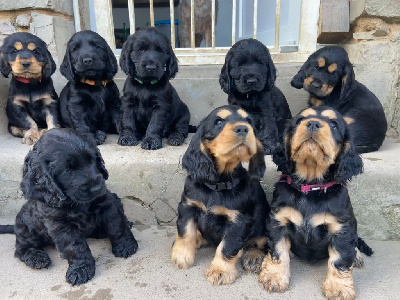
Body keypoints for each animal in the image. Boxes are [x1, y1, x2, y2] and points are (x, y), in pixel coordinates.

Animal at [1, 129, 138, 286]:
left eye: (92, 160)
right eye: (67, 170)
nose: (97, 187)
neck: (76, 203)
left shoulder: (108, 203)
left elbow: (116, 226)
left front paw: (126, 245)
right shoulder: (61, 226)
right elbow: (75, 247)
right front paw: (80, 270)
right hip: (26, 227)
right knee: (20, 249)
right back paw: (37, 258)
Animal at [170, 105, 270, 286]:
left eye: (249, 121)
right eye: (218, 122)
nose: (243, 128)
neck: (217, 186)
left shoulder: (238, 220)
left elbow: (227, 246)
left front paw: (220, 270)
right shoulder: (188, 206)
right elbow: (186, 231)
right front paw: (181, 255)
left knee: (260, 243)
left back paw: (253, 257)